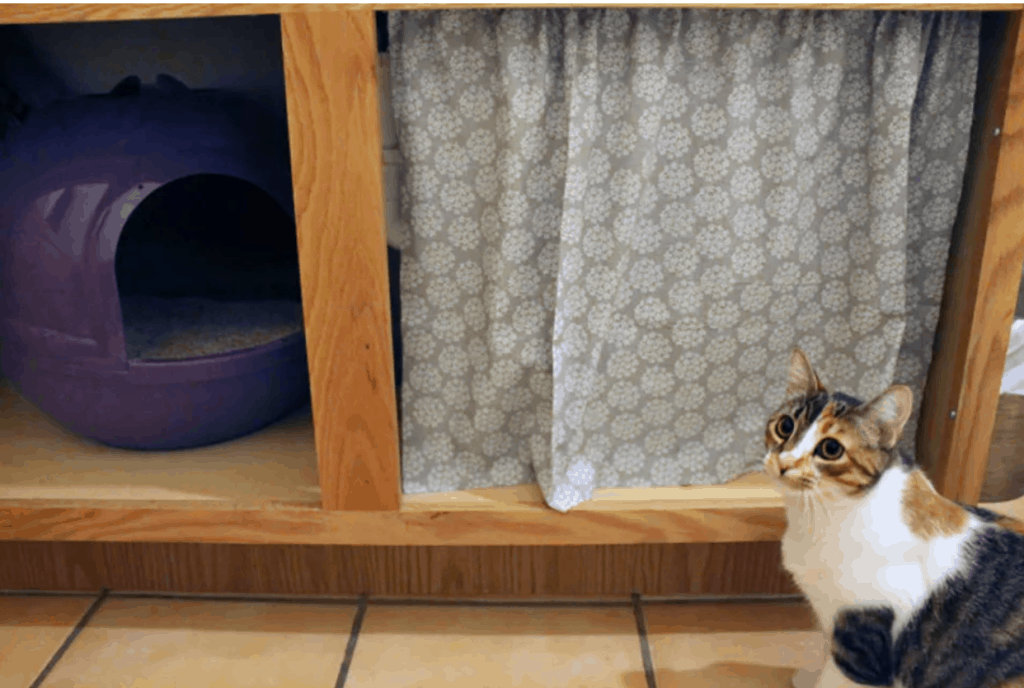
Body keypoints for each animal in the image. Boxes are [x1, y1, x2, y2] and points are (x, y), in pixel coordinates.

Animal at [765, 350, 1024, 688]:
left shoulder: (861, 643)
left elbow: (834, 676)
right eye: (785, 425)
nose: (784, 462)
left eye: (831, 448)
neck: (826, 513)